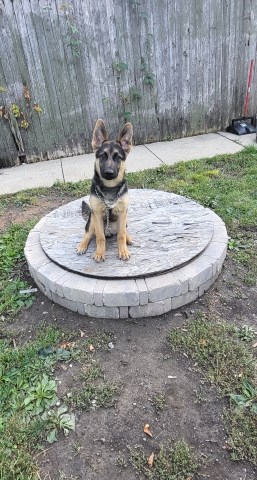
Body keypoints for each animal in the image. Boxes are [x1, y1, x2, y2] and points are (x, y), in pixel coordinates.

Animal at [75, 120, 132, 262]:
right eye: (103, 156)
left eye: (117, 158)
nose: (109, 173)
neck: (110, 187)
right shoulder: (96, 214)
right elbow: (100, 237)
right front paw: (100, 253)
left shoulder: (122, 212)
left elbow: (121, 235)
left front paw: (123, 251)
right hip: (92, 220)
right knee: (88, 233)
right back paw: (82, 245)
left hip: (125, 218)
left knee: (122, 231)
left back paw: (128, 237)